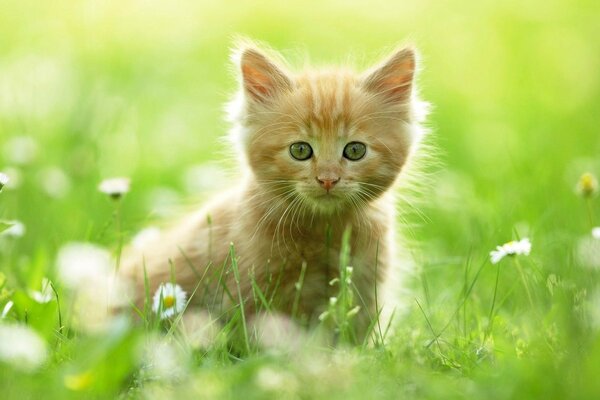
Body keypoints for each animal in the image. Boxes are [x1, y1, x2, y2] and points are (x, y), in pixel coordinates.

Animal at [120, 39, 426, 340]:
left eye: (355, 150)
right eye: (300, 150)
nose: (327, 179)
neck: (325, 230)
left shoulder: (364, 282)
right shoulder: (250, 286)